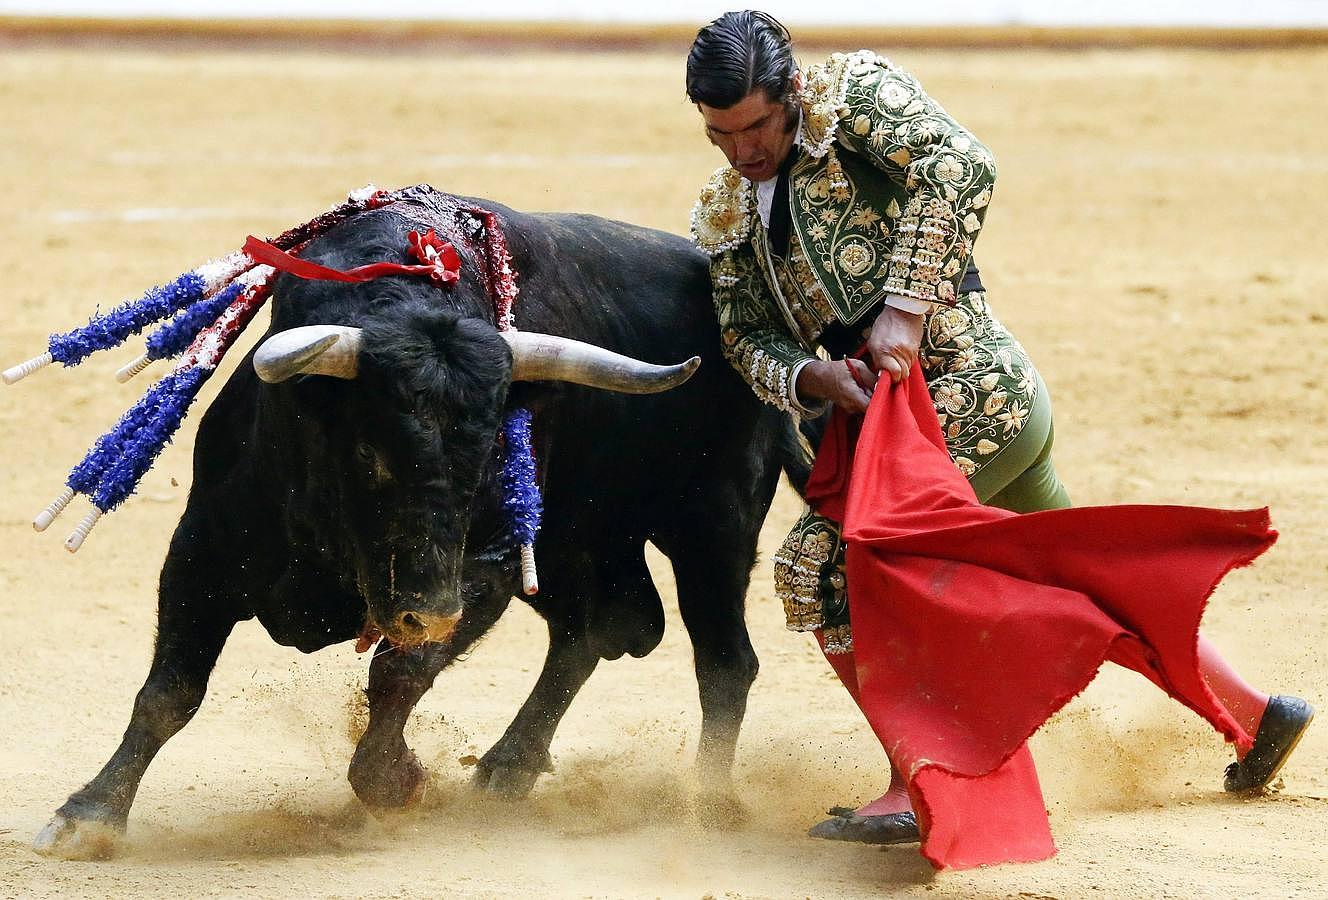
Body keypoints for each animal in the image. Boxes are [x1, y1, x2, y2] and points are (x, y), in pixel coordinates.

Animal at [36, 188, 802, 860]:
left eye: (491, 448)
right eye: (370, 452)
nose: (429, 611)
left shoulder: (485, 569)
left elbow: (399, 674)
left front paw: (395, 781)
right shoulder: (203, 550)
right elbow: (170, 692)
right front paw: (87, 816)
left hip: (712, 526)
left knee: (723, 660)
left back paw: (704, 805)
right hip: (580, 543)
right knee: (597, 629)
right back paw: (507, 768)